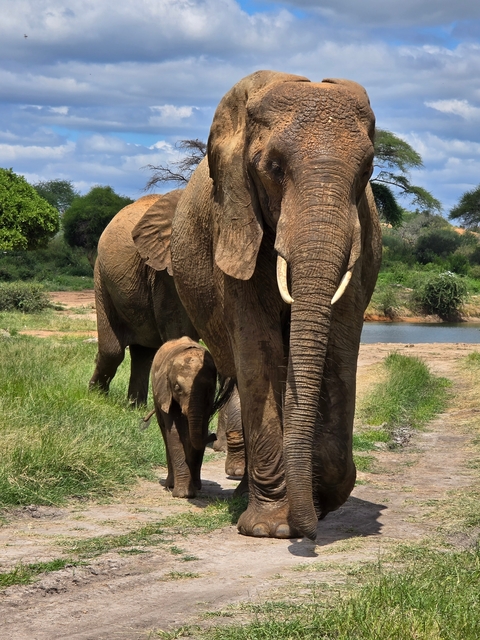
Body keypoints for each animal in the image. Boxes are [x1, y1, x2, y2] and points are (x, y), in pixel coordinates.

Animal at [89, 191, 199, 405]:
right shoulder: (166, 273)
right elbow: (180, 333)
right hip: (101, 277)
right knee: (113, 351)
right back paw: (96, 396)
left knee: (143, 353)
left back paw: (134, 407)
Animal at [144, 336, 218, 498]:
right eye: (177, 388)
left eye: (210, 389)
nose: (214, 435)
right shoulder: (165, 392)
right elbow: (174, 433)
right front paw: (183, 494)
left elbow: (197, 433)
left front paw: (190, 491)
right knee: (164, 432)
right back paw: (170, 485)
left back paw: (195, 486)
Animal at [159, 70, 382, 540]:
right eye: (273, 169)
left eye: (367, 171)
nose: (309, 531)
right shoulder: (234, 226)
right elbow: (258, 350)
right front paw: (271, 529)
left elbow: (339, 348)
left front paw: (321, 501)